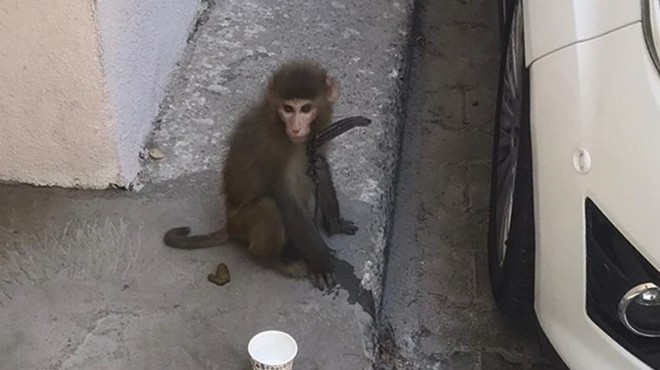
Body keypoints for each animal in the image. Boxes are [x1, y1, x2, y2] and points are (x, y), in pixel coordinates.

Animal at [166, 59, 360, 290]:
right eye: (287, 109)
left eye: (305, 109)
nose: (296, 128)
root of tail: (230, 225)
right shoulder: (271, 150)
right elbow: (285, 200)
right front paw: (321, 263)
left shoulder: (317, 139)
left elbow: (320, 168)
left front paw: (335, 222)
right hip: (244, 223)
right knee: (269, 206)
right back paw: (272, 258)